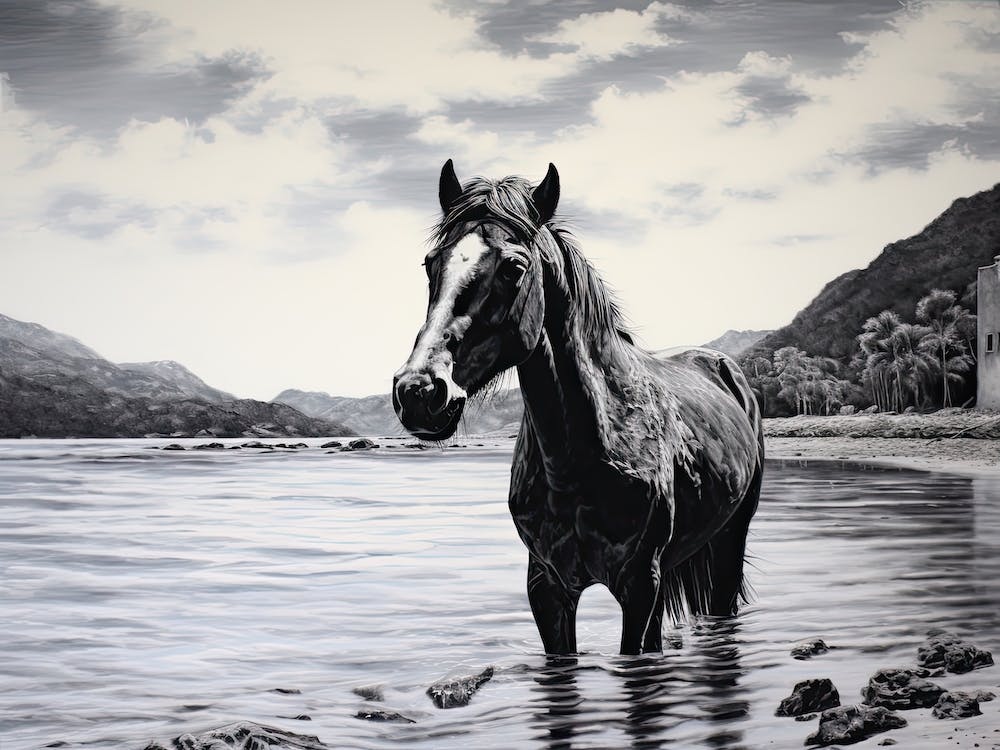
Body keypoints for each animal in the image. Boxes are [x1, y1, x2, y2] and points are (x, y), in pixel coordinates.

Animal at [393, 160, 764, 655]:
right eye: (431, 263)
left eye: (514, 267)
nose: (418, 391)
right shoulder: (548, 588)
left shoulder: (637, 585)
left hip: (728, 541)